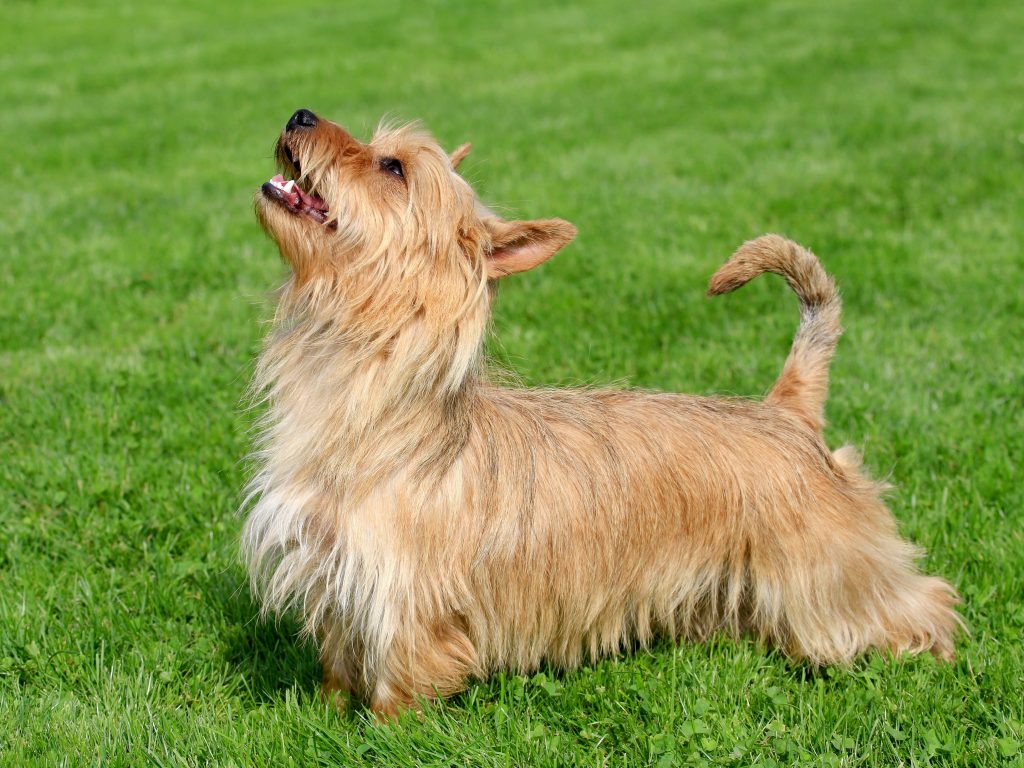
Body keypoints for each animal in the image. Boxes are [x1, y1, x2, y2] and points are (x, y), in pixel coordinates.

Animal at [243, 111, 962, 720]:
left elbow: (400, 682)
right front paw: (327, 713)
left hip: (828, 571)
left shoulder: (404, 596)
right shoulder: (334, 576)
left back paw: (935, 651)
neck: (370, 398)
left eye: (392, 167)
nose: (300, 115)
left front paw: (384, 734)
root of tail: (786, 410)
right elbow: (340, 662)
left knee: (917, 599)